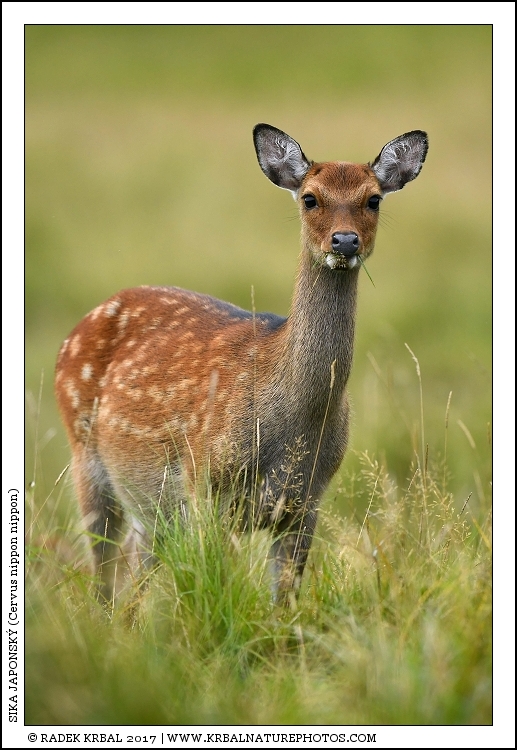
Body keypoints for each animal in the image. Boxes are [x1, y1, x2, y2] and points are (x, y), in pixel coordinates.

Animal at [55, 123, 428, 606]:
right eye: (310, 198)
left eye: (374, 199)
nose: (345, 241)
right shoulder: (206, 485)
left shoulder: (307, 502)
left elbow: (284, 604)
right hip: (85, 456)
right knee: (102, 569)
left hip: (151, 506)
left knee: (135, 562)